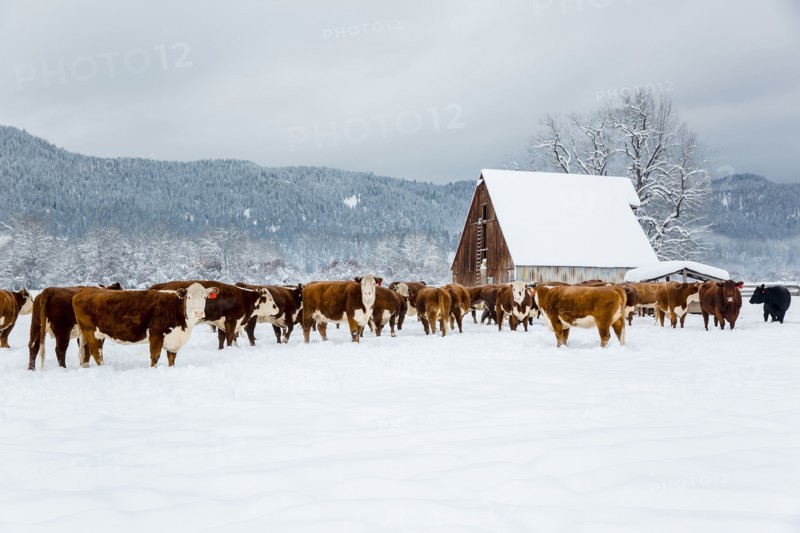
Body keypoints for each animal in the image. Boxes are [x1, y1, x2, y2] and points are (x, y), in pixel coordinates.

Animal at [72, 283, 218, 367]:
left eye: (205, 297)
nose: (198, 312)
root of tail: (83, 291)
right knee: (96, 353)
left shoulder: (173, 340)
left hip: (93, 333)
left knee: (87, 353)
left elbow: (172, 358)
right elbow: (155, 357)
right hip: (91, 331)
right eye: (189, 297)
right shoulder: (156, 335)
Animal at [149, 280, 279, 349]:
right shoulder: (231, 321)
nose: (277, 309)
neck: (244, 298)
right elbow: (230, 338)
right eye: (270, 299)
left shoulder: (220, 322)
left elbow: (221, 338)